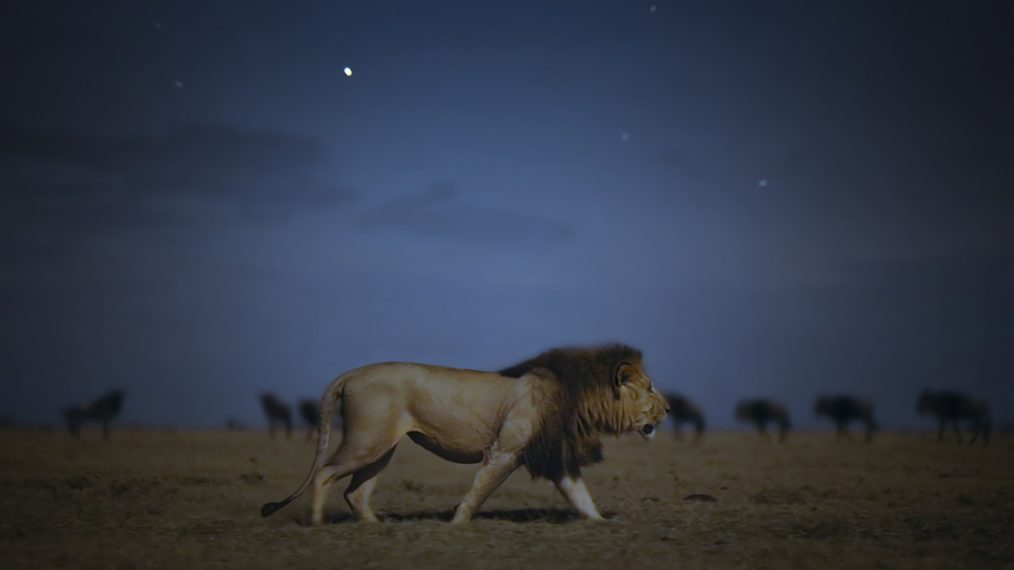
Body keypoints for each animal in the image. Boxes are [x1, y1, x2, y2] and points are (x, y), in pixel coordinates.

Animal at [261, 340, 669, 523]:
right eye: (650, 388)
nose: (667, 409)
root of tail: (351, 374)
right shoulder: (505, 451)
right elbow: (478, 492)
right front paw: (455, 527)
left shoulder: (556, 456)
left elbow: (581, 497)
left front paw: (603, 524)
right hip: (367, 440)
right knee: (325, 472)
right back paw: (318, 524)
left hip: (382, 447)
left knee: (356, 492)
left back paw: (377, 528)